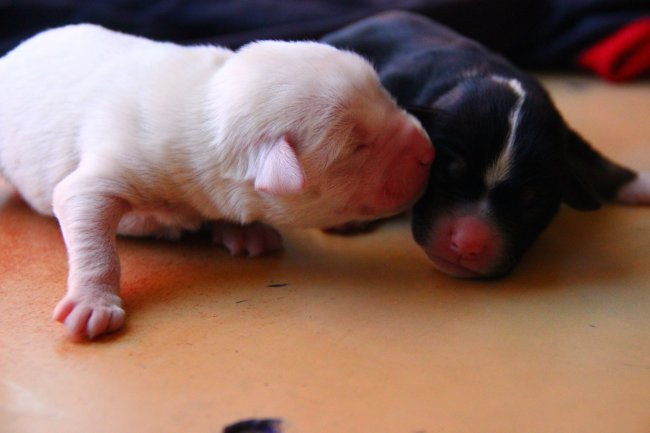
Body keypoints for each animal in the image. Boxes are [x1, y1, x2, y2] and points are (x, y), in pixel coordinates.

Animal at [2, 25, 436, 340]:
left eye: (384, 94)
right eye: (358, 145)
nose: (429, 151)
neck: (207, 106)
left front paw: (245, 231)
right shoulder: (120, 161)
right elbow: (87, 215)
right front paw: (92, 303)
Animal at [322, 11, 648, 278]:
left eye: (531, 200)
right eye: (447, 170)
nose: (467, 244)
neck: (486, 75)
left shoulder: (563, 132)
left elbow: (592, 157)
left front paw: (638, 184)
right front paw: (351, 215)